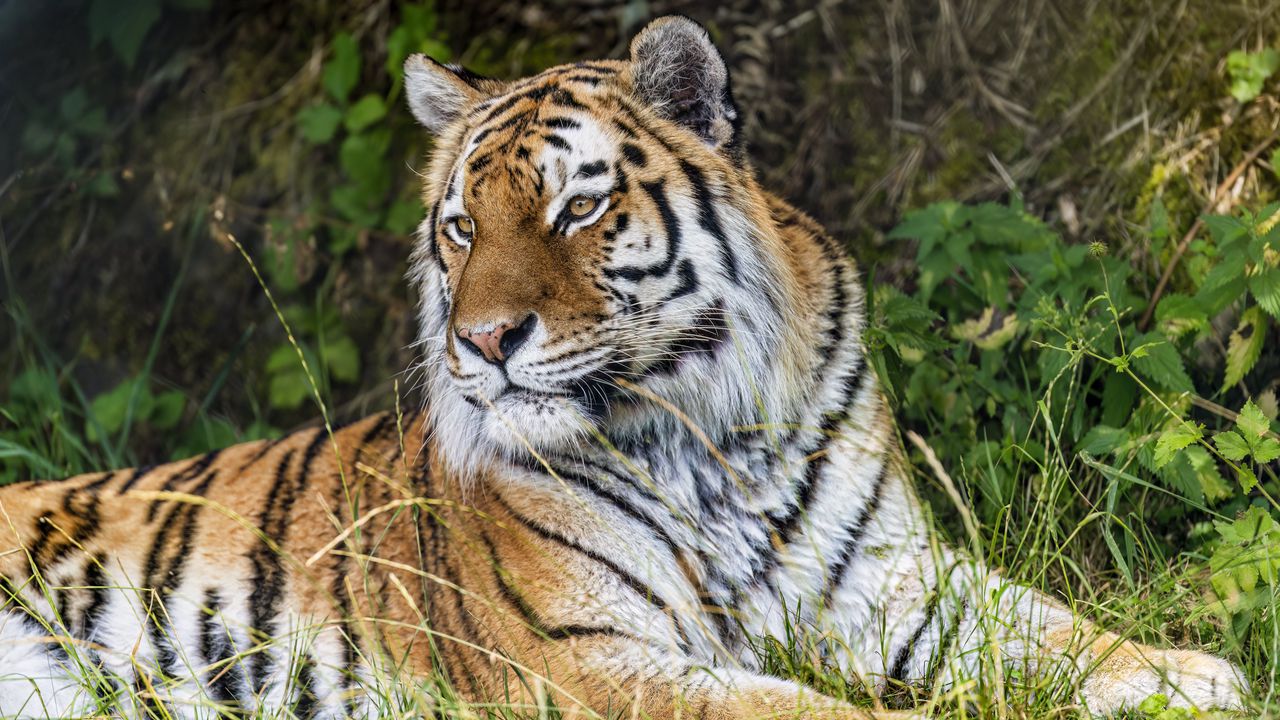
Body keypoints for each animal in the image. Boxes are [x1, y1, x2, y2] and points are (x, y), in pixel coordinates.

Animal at [0, 15, 1250, 720]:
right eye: (461, 230)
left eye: (576, 208)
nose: (481, 344)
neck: (708, 437)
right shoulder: (592, 656)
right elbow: (816, 715)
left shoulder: (887, 578)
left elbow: (1046, 626)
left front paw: (1192, 679)